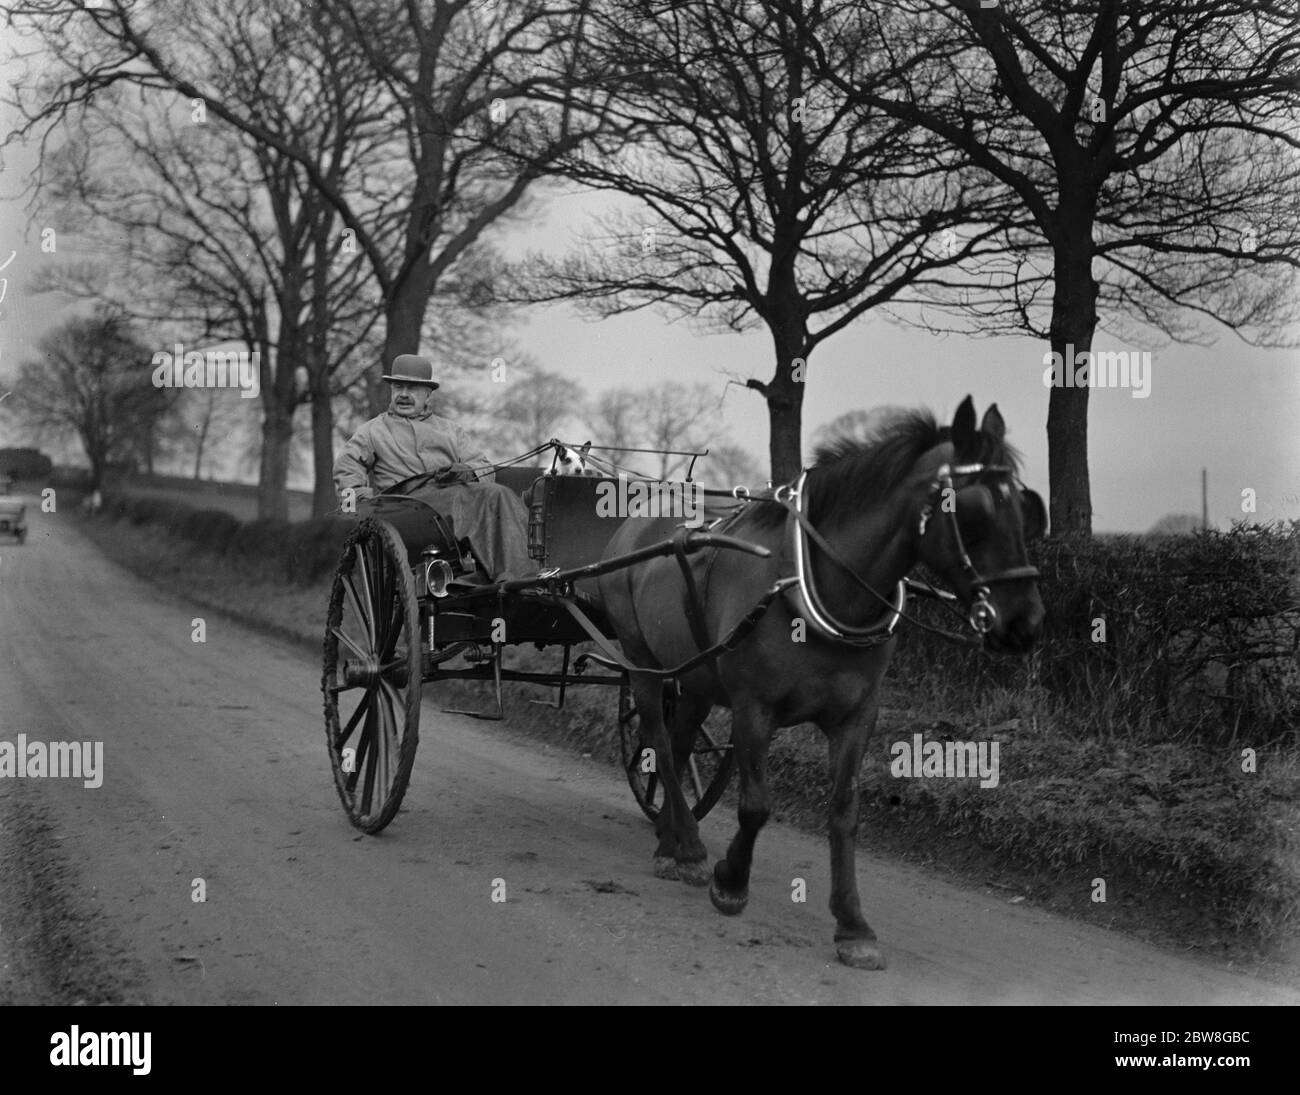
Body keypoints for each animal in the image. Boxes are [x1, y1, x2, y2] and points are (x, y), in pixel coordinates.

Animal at [595, 392, 1045, 962]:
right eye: (975, 510)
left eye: (1026, 508)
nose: (1025, 622)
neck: (818, 587)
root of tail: (637, 522)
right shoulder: (753, 709)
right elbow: (756, 805)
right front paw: (730, 881)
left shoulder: (857, 716)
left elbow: (844, 812)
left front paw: (853, 924)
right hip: (645, 665)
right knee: (656, 741)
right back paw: (691, 849)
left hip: (694, 679)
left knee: (676, 749)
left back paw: (672, 842)